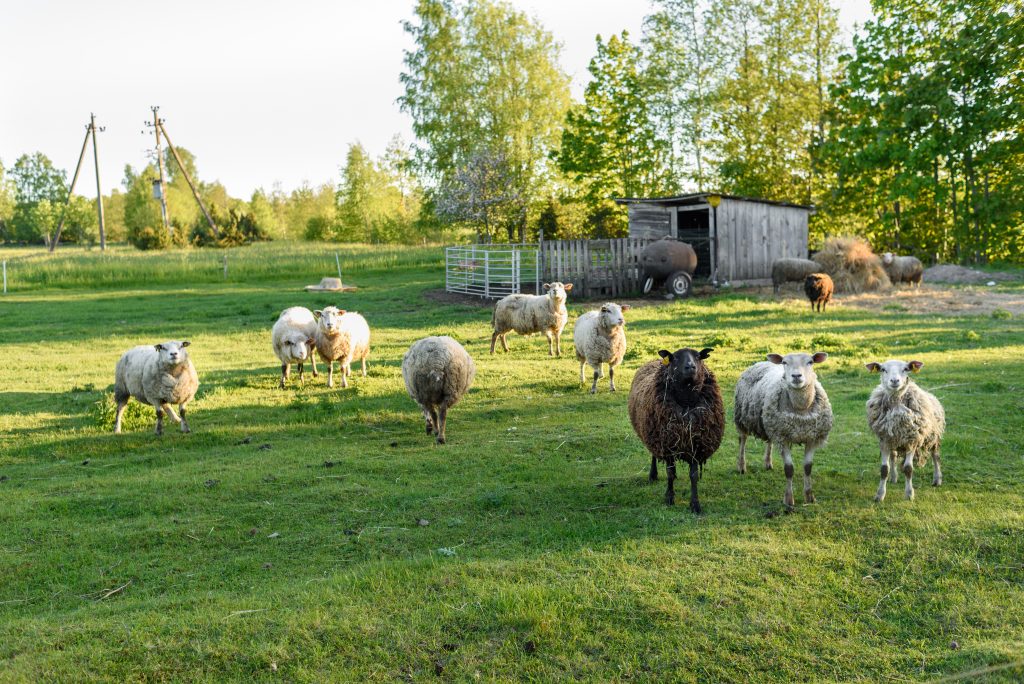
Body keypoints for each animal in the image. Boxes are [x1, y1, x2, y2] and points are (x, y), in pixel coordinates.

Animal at [622, 348, 729, 511]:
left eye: (698, 356)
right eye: (675, 358)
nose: (690, 367)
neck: (686, 401)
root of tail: (655, 360)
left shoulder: (695, 445)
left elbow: (693, 475)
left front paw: (695, 504)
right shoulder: (667, 446)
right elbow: (670, 473)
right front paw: (669, 498)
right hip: (653, 435)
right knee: (654, 455)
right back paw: (653, 475)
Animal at [737, 352, 831, 507]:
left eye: (810, 362)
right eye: (785, 362)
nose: (796, 376)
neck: (800, 409)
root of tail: (762, 361)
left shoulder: (811, 438)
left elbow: (808, 467)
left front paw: (809, 497)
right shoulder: (784, 438)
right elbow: (789, 469)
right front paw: (788, 500)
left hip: (770, 422)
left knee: (769, 441)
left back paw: (768, 463)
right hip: (742, 418)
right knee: (742, 441)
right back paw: (741, 466)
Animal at [864, 358, 942, 501]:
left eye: (906, 369)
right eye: (883, 369)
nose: (895, 381)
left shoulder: (912, 440)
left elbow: (908, 469)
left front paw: (909, 494)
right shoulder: (884, 440)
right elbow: (884, 469)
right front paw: (880, 495)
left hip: (933, 437)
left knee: (936, 456)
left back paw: (937, 479)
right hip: (894, 439)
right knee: (893, 456)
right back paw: (893, 477)